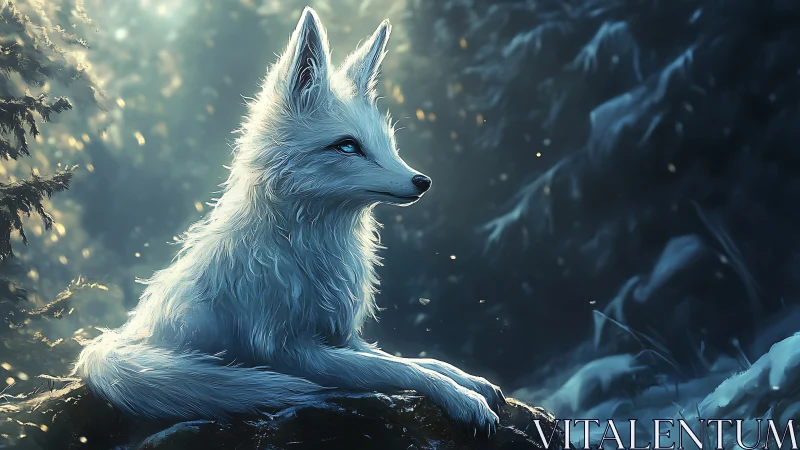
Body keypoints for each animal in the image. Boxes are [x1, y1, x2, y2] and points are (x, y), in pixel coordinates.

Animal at [73, 6, 504, 435]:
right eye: (348, 146)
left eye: (389, 145)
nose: (423, 181)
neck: (305, 247)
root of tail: (118, 338)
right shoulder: (292, 351)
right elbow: (399, 370)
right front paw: (463, 399)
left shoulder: (341, 337)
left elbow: (416, 360)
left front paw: (470, 381)